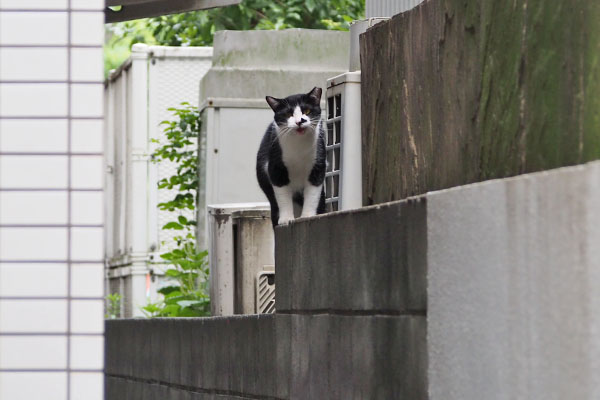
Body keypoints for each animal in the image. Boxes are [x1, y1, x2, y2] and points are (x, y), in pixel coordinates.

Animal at [255, 86, 326, 227]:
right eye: (288, 114)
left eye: (307, 111)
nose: (300, 121)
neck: (298, 147)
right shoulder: (276, 168)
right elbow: (283, 196)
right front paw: (285, 219)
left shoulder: (318, 165)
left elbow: (313, 194)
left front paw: (307, 216)